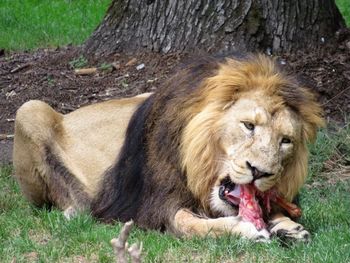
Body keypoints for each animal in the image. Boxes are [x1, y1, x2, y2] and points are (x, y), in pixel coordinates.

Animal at [12, 54, 324, 242]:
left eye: (286, 140)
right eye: (248, 125)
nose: (260, 172)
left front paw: (288, 225)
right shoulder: (154, 206)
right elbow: (190, 224)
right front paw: (245, 228)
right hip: (28, 108)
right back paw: (75, 211)